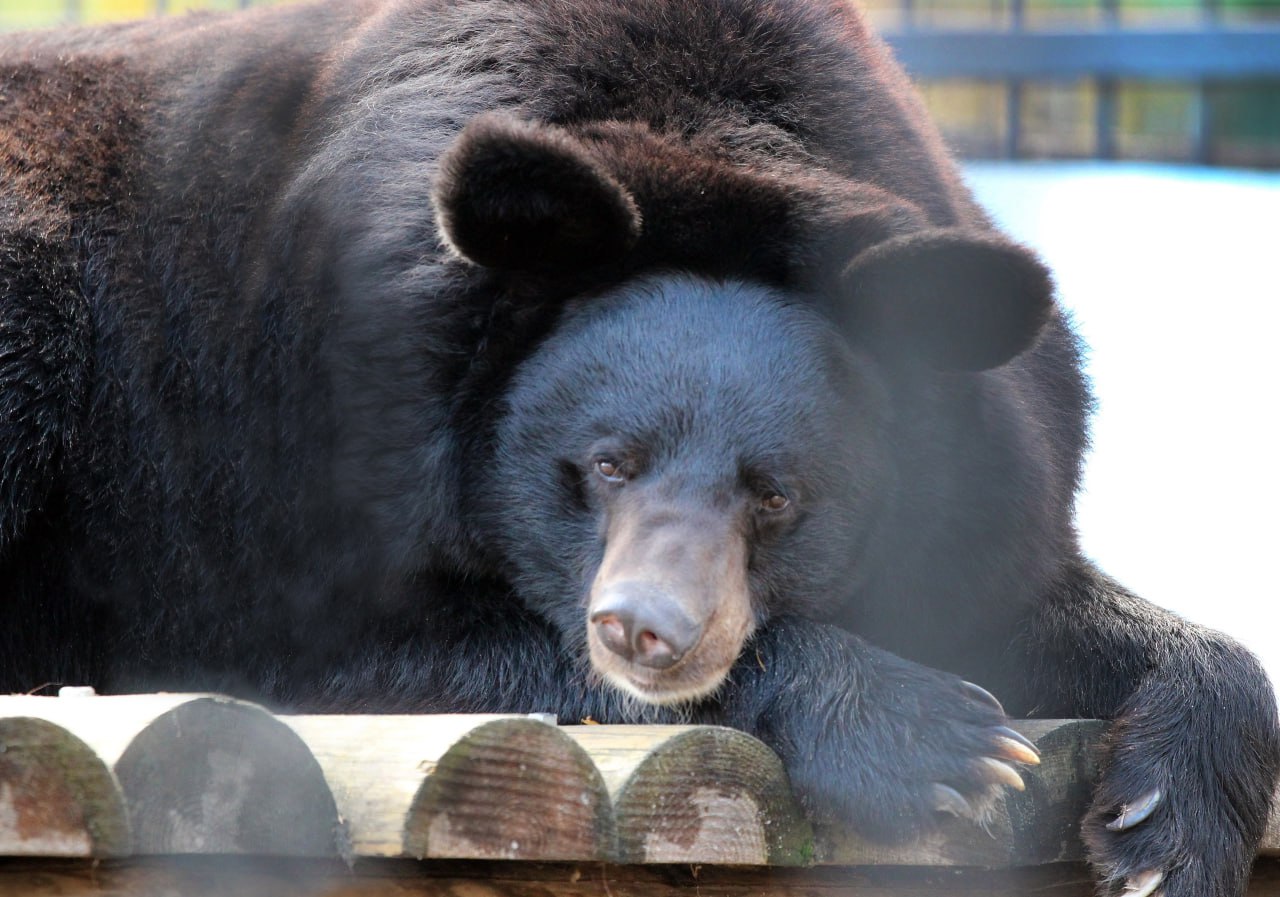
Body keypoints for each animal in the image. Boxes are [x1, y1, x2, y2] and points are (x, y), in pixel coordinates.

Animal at [0, 1, 1274, 895]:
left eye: (776, 496)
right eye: (603, 463)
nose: (643, 632)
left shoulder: (991, 474)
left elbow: (1039, 603)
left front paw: (1163, 835)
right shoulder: (277, 455)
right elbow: (349, 644)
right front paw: (934, 741)